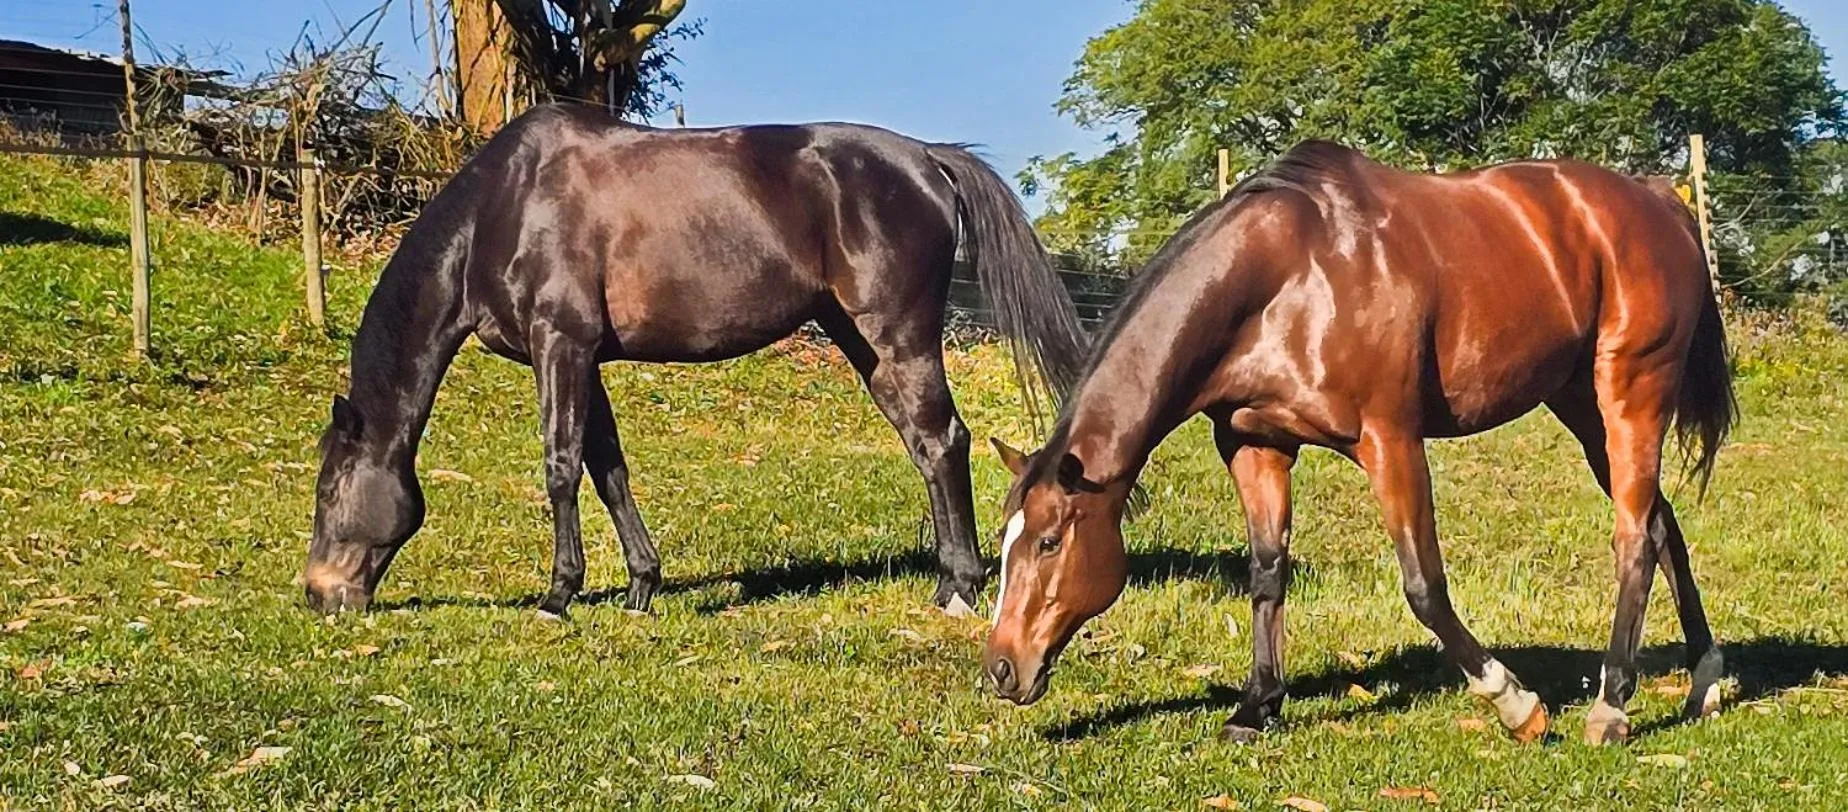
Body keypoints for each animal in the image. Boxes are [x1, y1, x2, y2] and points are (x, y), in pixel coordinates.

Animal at [303, 103, 1088, 619]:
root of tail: (928, 156)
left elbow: (560, 465)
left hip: (898, 336)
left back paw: (960, 587)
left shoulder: (561, 344)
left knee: (943, 441)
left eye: (327, 489)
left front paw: (559, 594)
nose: (318, 595)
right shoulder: (585, 357)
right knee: (927, 447)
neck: (508, 205)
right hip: (862, 343)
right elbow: (608, 468)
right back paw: (953, 580)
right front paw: (640, 588)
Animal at [981, 141, 1735, 746]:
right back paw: (1705, 679)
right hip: (1582, 406)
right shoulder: (1255, 447)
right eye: (1005, 540)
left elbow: (1424, 585)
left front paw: (1513, 702)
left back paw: (1611, 705)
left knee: (1634, 539)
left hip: (1632, 392)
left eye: (1048, 541)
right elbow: (1267, 572)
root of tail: (1659, 200)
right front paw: (1256, 707)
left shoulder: (1390, 440)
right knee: (1661, 525)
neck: (1284, 277)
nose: (1000, 667)